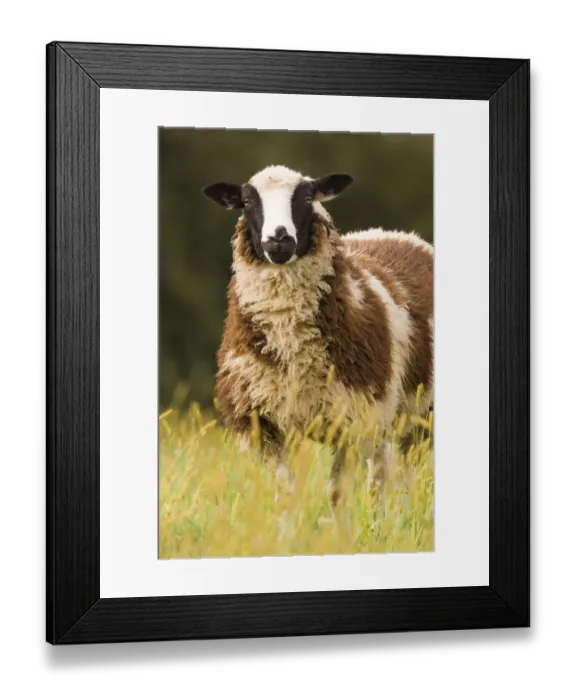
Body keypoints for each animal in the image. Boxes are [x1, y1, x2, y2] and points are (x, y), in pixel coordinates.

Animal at [201, 164, 433, 507]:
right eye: (247, 201)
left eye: (307, 197)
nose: (279, 238)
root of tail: (394, 233)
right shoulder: (264, 424)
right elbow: (285, 493)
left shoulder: (352, 416)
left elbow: (337, 494)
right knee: (382, 471)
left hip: (415, 412)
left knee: (397, 478)